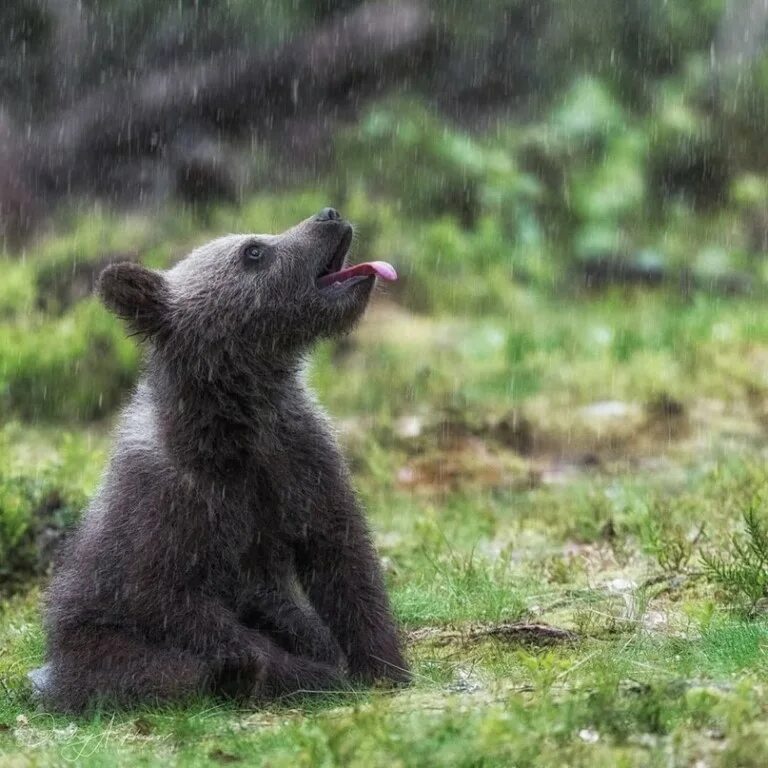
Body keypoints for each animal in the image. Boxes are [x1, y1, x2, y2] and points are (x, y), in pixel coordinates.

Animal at [33, 207, 408, 712]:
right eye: (253, 250)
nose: (328, 215)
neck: (239, 427)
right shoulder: (170, 499)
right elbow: (169, 598)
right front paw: (308, 670)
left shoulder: (301, 458)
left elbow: (344, 560)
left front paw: (385, 666)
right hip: (88, 638)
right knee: (161, 668)